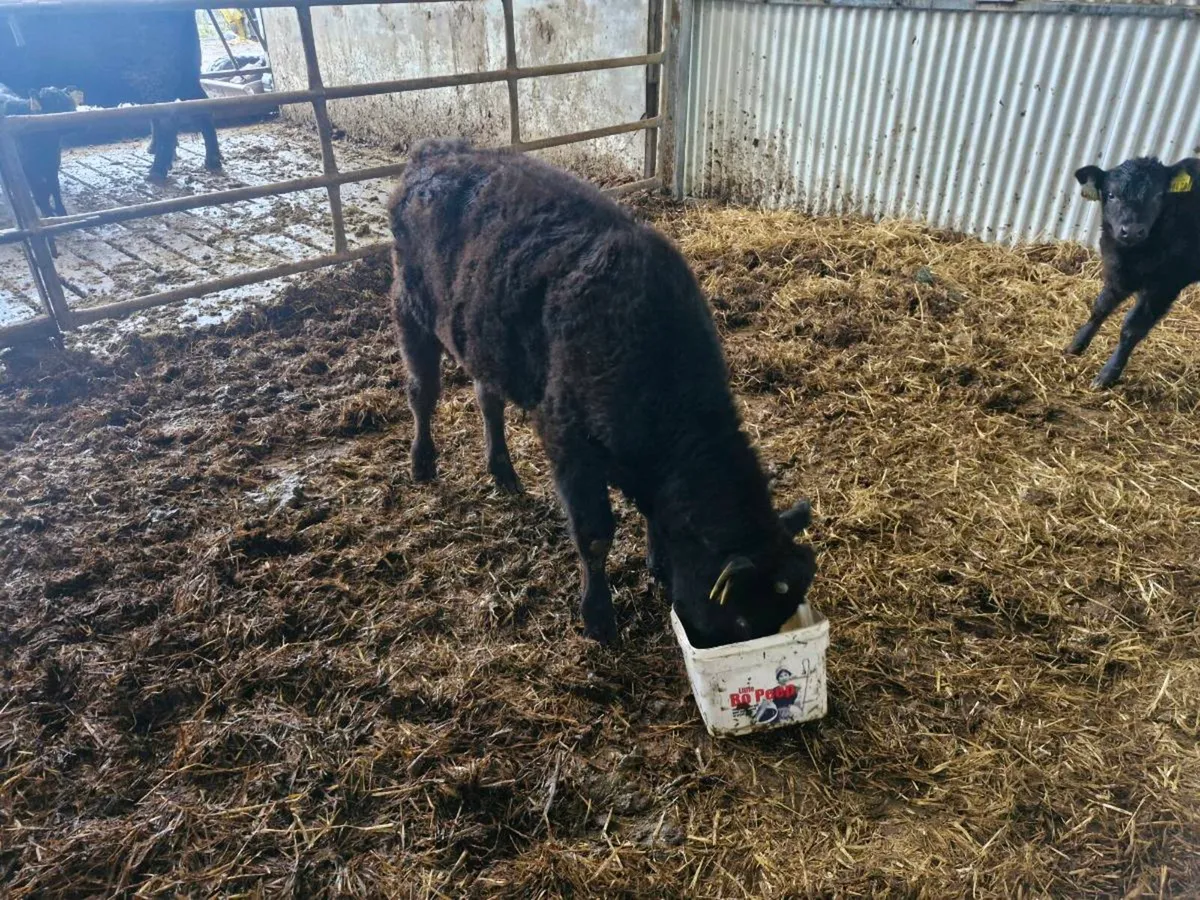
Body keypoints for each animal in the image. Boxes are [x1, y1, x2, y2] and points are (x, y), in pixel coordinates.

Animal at [1, 10, 222, 183]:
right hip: (185, 75)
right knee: (200, 106)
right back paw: (210, 160)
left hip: (154, 76)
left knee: (167, 118)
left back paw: (156, 172)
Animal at [1, 83, 77, 219]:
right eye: (55, 102)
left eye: (70, 100)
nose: (74, 111)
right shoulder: (27, 168)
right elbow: (39, 189)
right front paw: (48, 213)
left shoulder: (53, 163)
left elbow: (53, 187)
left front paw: (61, 212)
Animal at [387, 141, 817, 648]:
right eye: (744, 621)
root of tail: (434, 153)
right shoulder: (569, 445)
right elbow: (595, 537)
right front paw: (598, 617)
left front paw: (658, 564)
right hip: (410, 311)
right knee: (422, 392)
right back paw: (422, 462)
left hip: (483, 345)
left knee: (487, 401)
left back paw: (503, 472)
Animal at [1067, 156, 1200, 388]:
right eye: (1111, 195)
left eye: (1158, 195)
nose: (1131, 231)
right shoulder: (1117, 273)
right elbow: (1100, 308)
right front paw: (1076, 346)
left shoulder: (1165, 285)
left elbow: (1132, 329)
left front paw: (1107, 376)